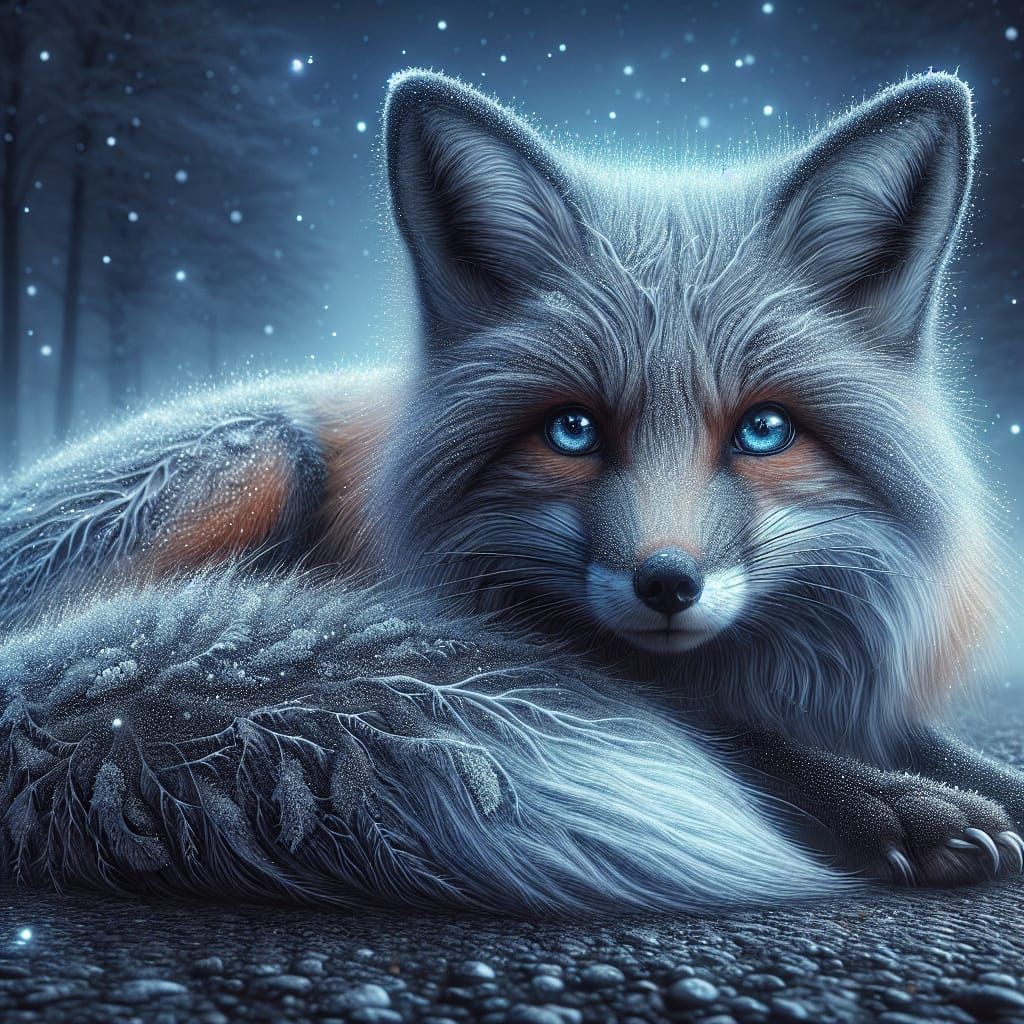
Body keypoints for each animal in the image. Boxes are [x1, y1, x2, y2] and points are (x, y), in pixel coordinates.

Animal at [1, 68, 1023, 906]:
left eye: (764, 430)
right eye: (572, 429)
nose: (666, 584)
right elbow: (732, 733)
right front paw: (890, 805)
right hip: (260, 457)